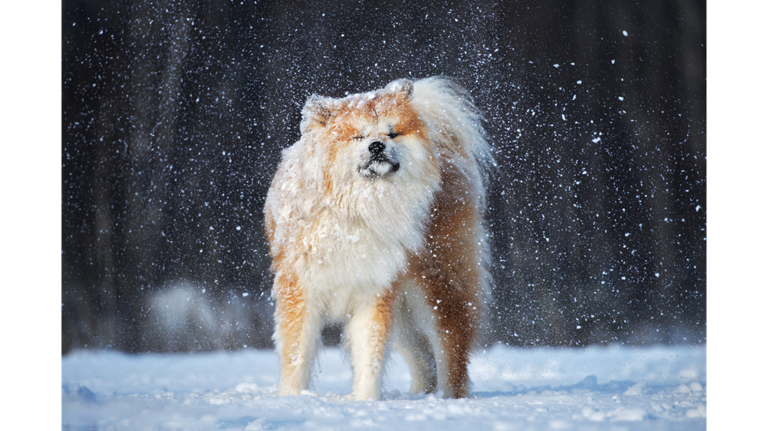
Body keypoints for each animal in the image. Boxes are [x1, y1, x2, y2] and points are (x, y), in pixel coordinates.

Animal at [264, 77, 492, 402]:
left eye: (392, 132)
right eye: (358, 136)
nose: (376, 145)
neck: (356, 212)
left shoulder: (373, 293)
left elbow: (369, 356)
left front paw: (365, 401)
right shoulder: (302, 291)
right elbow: (297, 355)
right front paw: (292, 399)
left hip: (438, 287)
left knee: (451, 348)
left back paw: (449, 399)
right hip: (406, 313)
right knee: (423, 357)